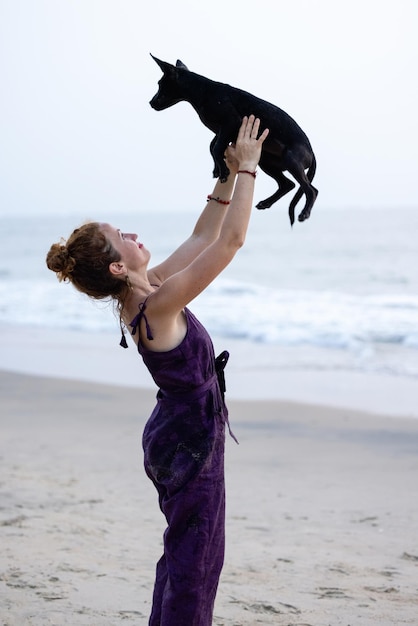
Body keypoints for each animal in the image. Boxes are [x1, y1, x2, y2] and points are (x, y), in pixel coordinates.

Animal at [149, 54, 316, 224]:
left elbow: (216, 147)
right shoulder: (222, 130)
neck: (203, 91)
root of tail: (312, 152)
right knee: (288, 184)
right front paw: (218, 168)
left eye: (160, 84)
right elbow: (212, 146)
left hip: (291, 160)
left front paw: (223, 171)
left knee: (311, 190)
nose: (151, 103)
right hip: (267, 162)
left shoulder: (231, 123)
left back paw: (305, 213)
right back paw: (266, 203)